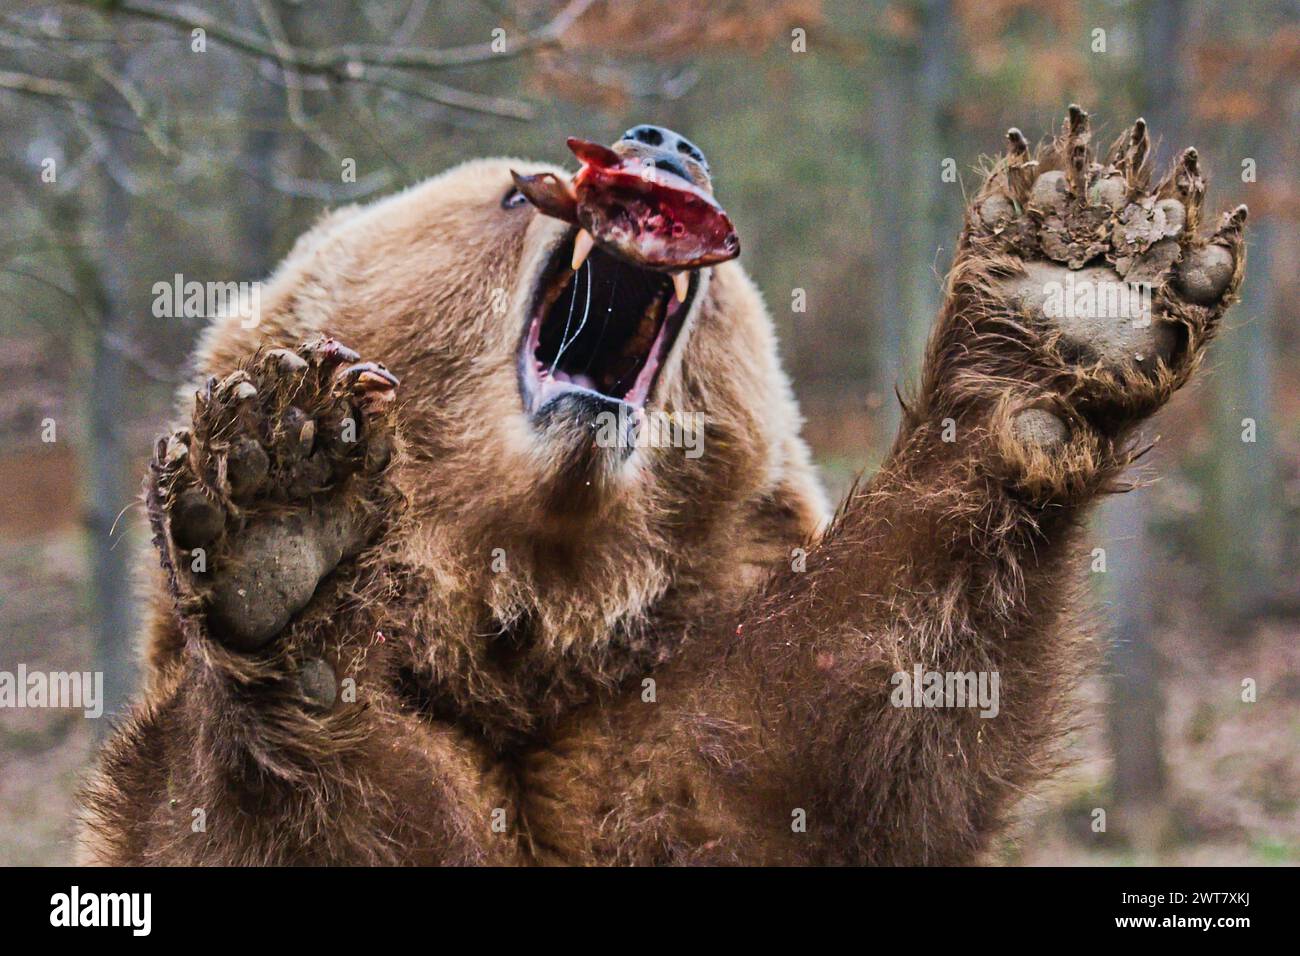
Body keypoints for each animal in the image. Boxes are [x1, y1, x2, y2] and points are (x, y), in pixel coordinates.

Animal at [81, 110, 1248, 868]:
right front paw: (282, 499)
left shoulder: (682, 731)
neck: (526, 605)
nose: (666, 142)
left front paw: (1078, 279)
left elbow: (858, 688)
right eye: (507, 192)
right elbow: (262, 812)